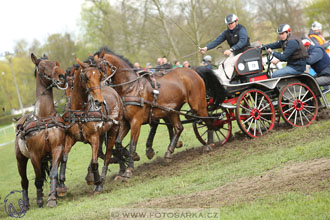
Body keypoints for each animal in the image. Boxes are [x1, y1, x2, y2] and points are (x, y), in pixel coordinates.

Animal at [15, 53, 67, 208]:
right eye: (43, 66)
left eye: (56, 63)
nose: (62, 76)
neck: (44, 118)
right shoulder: (34, 155)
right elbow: (37, 178)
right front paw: (39, 200)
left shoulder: (57, 148)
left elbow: (53, 173)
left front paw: (52, 198)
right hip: (20, 159)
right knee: (24, 181)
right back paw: (26, 204)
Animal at [55, 57, 124, 195]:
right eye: (86, 77)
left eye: (99, 76)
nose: (99, 101)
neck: (80, 113)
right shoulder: (70, 137)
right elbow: (64, 158)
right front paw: (61, 185)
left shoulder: (94, 138)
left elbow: (95, 162)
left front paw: (98, 183)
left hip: (113, 130)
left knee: (107, 155)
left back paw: (101, 178)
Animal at [91, 48, 217, 179]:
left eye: (100, 68)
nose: (97, 91)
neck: (131, 87)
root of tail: (192, 70)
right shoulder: (125, 122)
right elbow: (118, 143)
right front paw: (133, 156)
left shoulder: (136, 122)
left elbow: (132, 145)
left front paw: (129, 169)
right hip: (172, 110)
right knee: (179, 128)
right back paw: (169, 152)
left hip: (197, 105)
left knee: (208, 120)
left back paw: (210, 144)